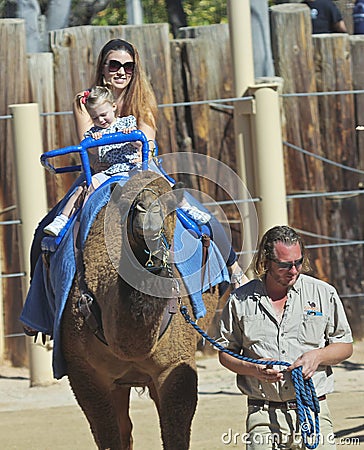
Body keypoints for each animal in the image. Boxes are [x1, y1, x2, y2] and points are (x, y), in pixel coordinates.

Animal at [61, 171, 220, 448]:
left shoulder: (175, 366)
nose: (148, 211)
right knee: (125, 429)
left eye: (169, 203)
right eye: (127, 202)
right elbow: (109, 436)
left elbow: (175, 434)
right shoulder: (83, 373)